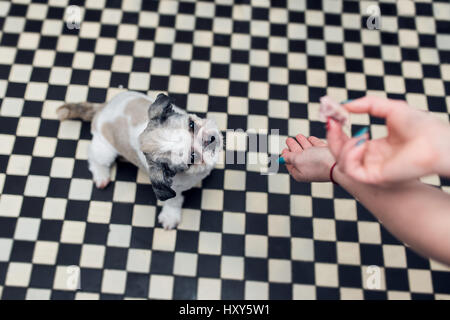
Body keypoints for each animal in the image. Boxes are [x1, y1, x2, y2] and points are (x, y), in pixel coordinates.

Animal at [58, 91, 223, 229]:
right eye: (192, 157)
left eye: (191, 124)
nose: (211, 139)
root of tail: (101, 109)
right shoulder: (173, 189)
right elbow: (173, 201)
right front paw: (170, 215)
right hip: (105, 151)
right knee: (95, 158)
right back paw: (101, 175)